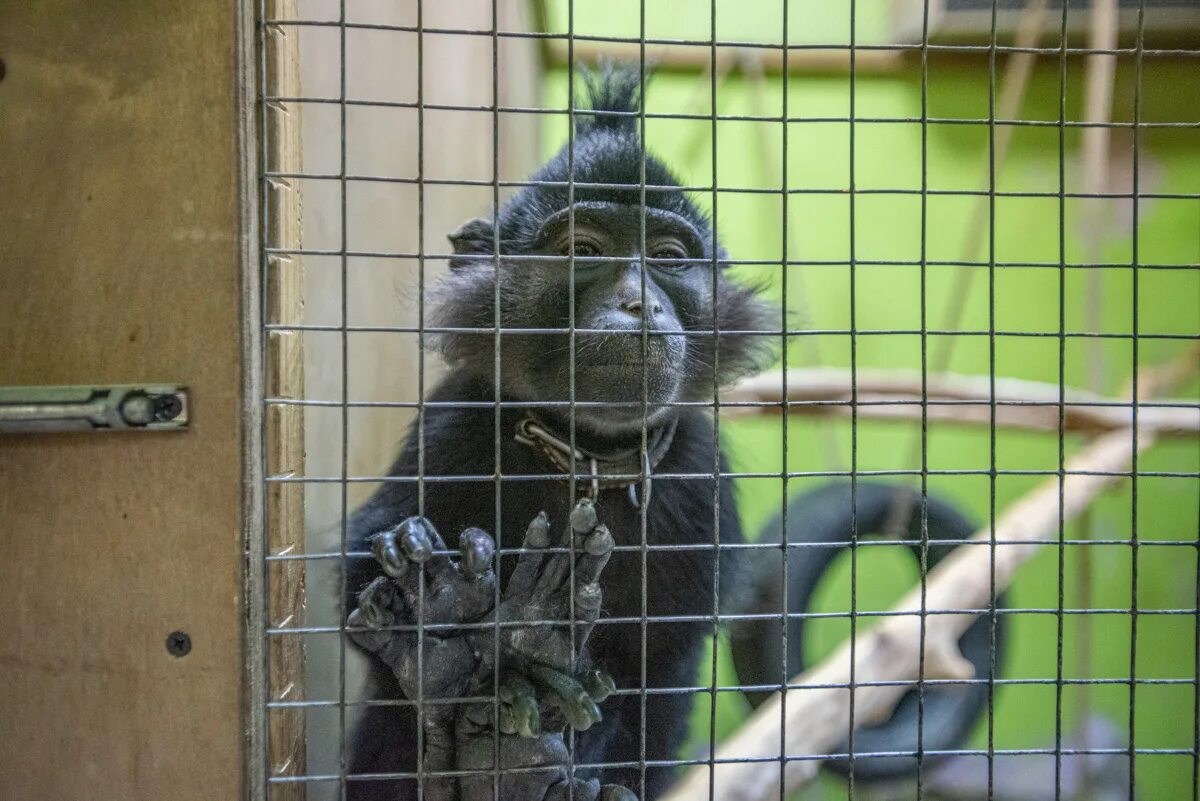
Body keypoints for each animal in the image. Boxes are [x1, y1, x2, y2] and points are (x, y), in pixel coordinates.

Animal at [343, 64, 772, 801]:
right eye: (584, 251)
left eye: (669, 259)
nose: (640, 302)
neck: (586, 455)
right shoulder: (456, 424)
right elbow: (357, 574)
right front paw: (451, 614)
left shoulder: (696, 475)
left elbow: (658, 673)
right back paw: (462, 666)